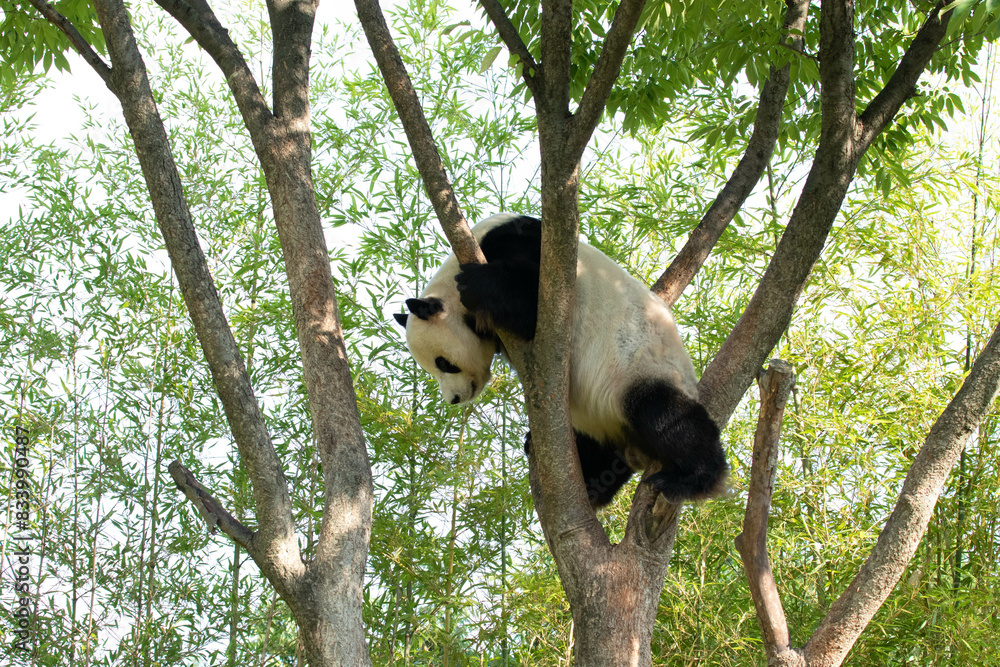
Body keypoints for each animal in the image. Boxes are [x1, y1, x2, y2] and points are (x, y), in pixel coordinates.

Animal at [393, 213, 728, 507]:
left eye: (443, 363)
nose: (454, 398)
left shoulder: (533, 251)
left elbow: (532, 303)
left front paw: (477, 283)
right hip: (602, 417)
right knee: (598, 449)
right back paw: (589, 484)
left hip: (641, 370)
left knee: (666, 415)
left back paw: (692, 478)